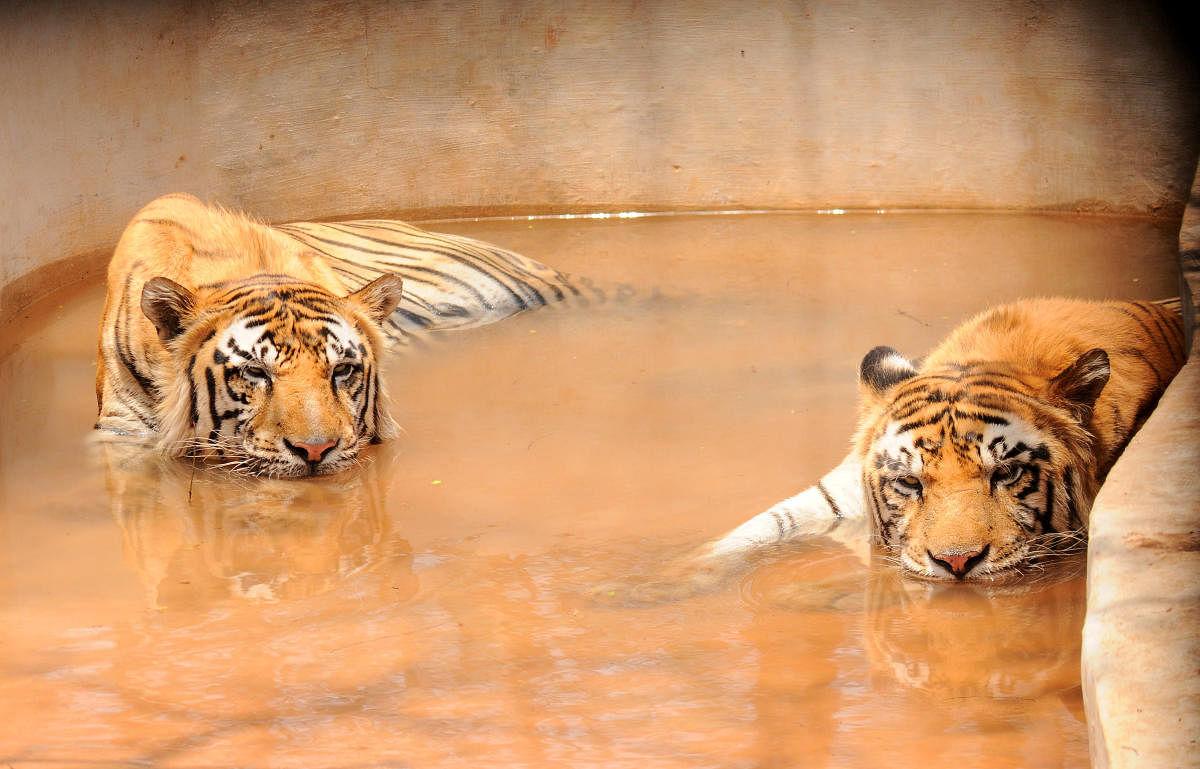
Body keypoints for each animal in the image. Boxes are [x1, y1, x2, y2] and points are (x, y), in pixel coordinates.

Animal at [619, 297, 1190, 590]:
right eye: (910, 483)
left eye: (1006, 474)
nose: (957, 563)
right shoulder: (840, 491)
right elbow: (763, 526)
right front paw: (666, 579)